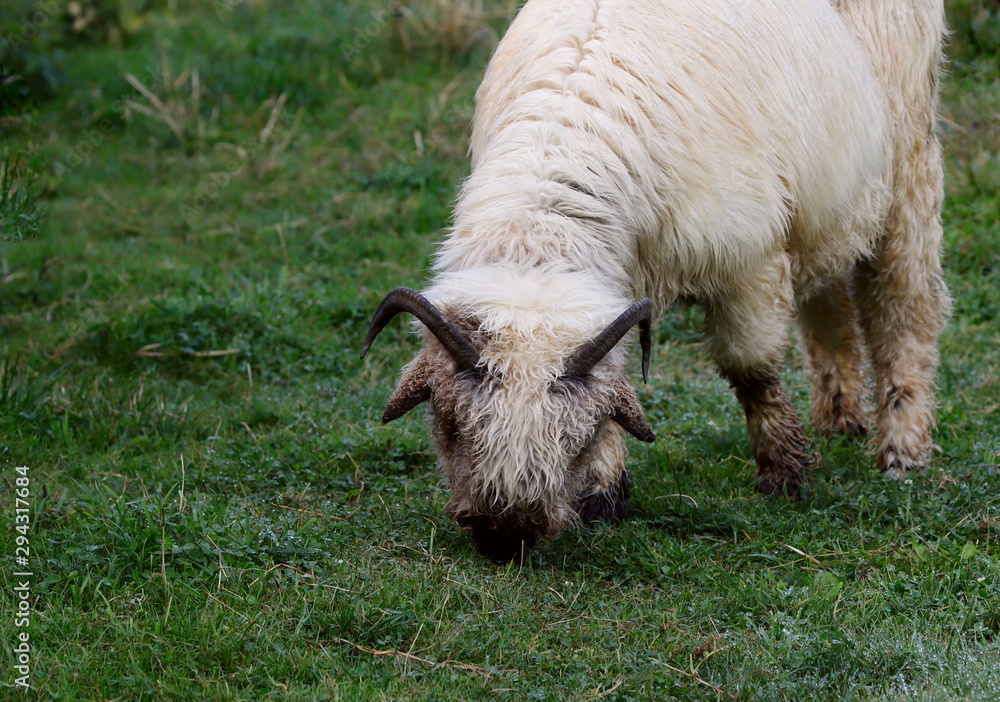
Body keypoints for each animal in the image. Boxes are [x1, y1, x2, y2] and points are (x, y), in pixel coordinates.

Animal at [361, 0, 949, 561]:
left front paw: (784, 476)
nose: (504, 541)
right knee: (830, 309)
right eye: (448, 426)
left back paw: (902, 450)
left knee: (905, 309)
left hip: (908, 166)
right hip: (827, 212)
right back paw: (839, 419)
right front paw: (602, 495)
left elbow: (753, 372)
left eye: (575, 440)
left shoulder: (750, 263)